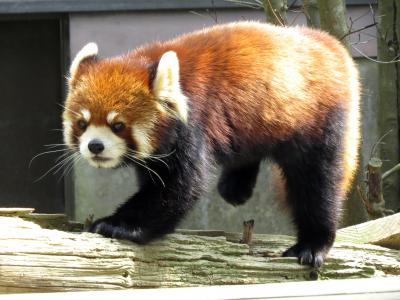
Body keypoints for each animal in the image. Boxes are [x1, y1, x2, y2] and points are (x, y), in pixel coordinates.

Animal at [63, 21, 362, 268]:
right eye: (82, 123)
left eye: (118, 125)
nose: (95, 146)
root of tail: (328, 43)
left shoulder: (195, 124)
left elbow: (179, 187)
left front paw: (118, 225)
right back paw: (235, 187)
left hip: (316, 118)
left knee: (316, 182)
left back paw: (312, 244)